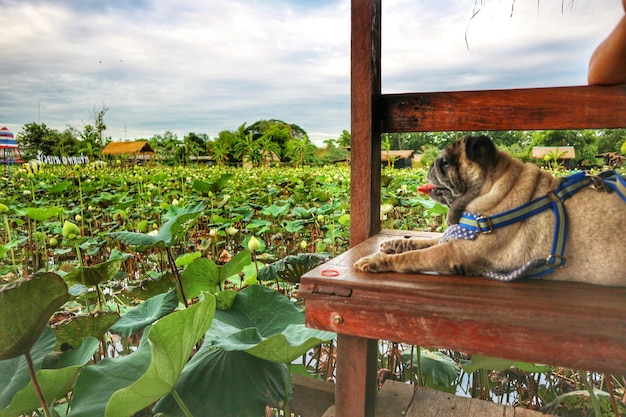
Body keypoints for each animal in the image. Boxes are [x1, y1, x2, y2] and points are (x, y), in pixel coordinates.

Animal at [354, 134, 624, 286]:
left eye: (445, 162)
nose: (430, 165)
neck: (495, 189)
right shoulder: (457, 237)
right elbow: (424, 242)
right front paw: (396, 243)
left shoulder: (456, 252)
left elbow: (415, 256)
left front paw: (378, 260)